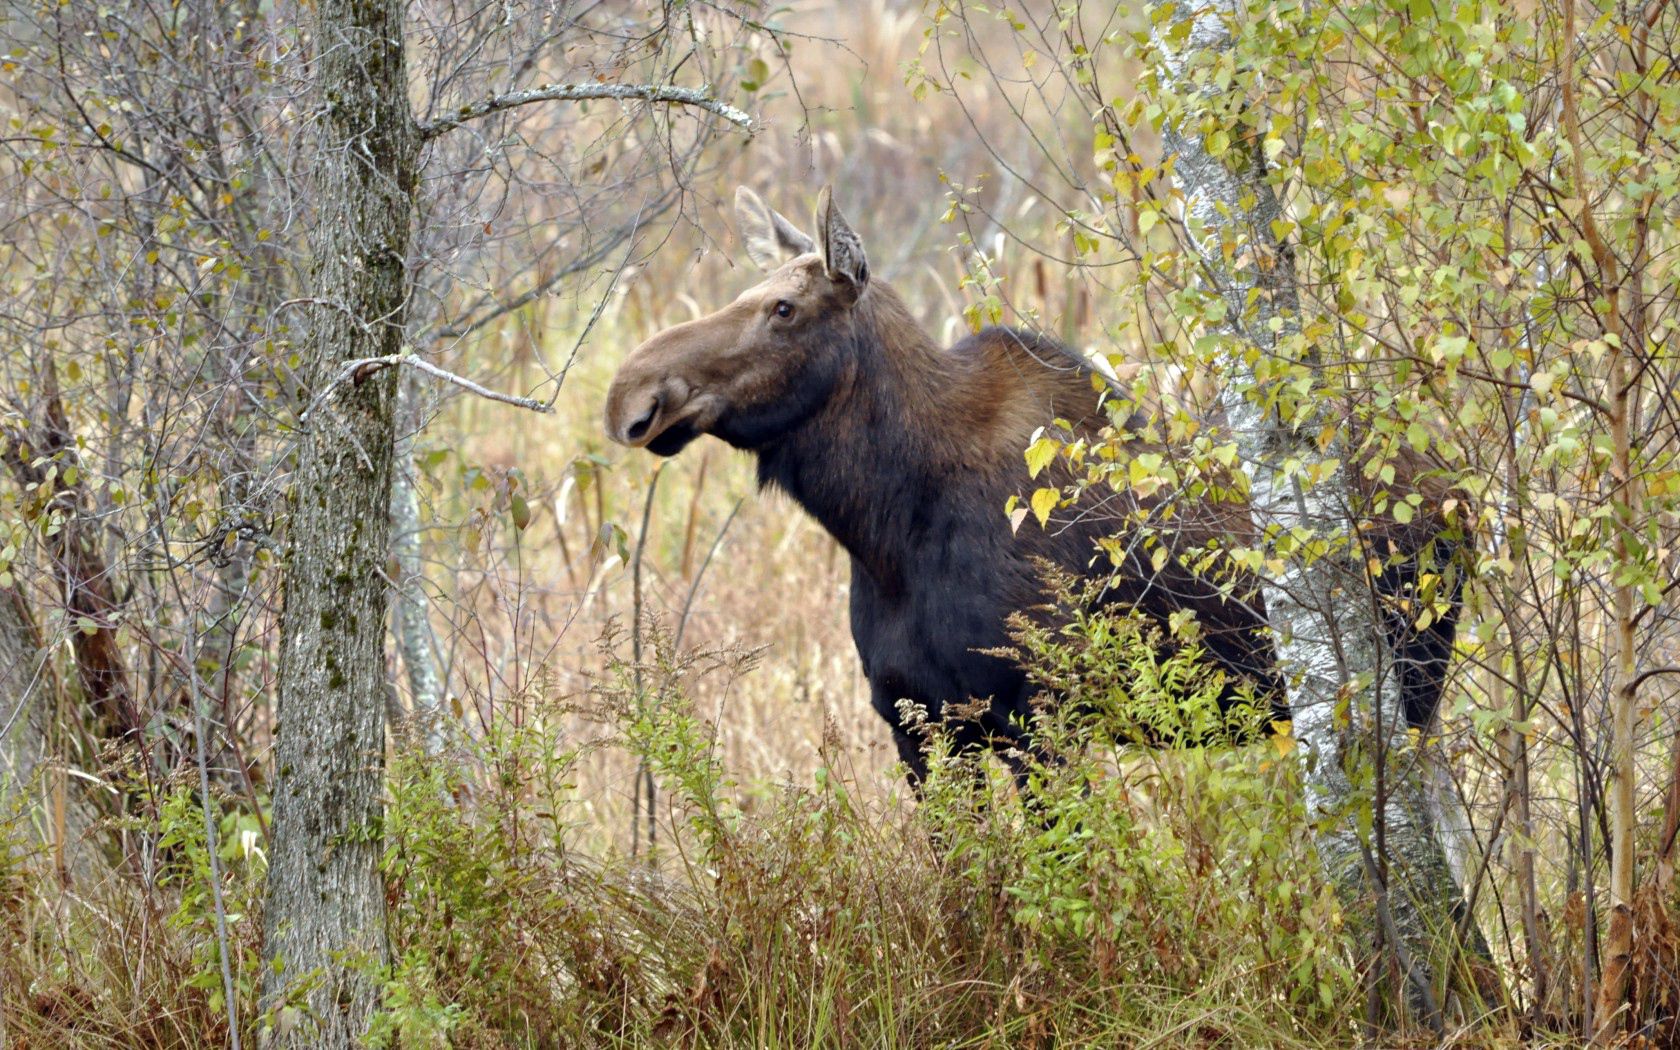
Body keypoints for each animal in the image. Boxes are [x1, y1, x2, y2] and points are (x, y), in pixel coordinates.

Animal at [608, 183, 1458, 782]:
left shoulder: (1034, 719)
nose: (631, 394)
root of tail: (1459, 484)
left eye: (783, 308)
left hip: (1411, 683)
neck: (881, 528)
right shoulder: (915, 727)